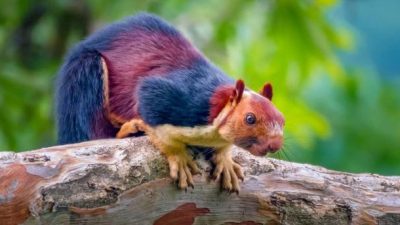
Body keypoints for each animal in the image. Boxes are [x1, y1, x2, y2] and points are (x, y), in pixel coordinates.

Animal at [57, 12, 286, 192]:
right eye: (250, 118)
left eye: (282, 119)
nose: (275, 144)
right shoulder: (173, 98)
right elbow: (155, 117)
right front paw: (178, 157)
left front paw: (225, 159)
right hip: (85, 77)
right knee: (94, 132)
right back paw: (129, 129)